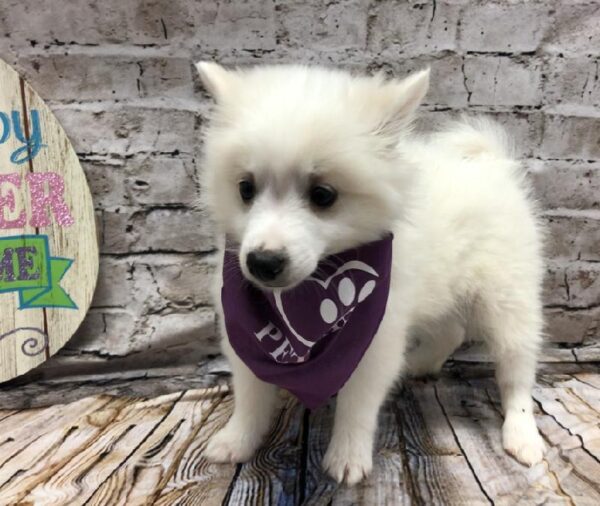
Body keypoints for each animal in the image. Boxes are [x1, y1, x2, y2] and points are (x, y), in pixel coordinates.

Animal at [196, 63, 544, 486]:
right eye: (245, 189)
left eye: (323, 195)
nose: (262, 262)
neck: (306, 298)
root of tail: (492, 165)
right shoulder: (245, 339)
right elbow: (250, 397)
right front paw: (236, 440)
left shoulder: (374, 339)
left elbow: (356, 405)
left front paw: (348, 457)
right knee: (452, 331)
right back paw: (418, 364)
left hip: (508, 296)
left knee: (516, 366)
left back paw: (522, 433)